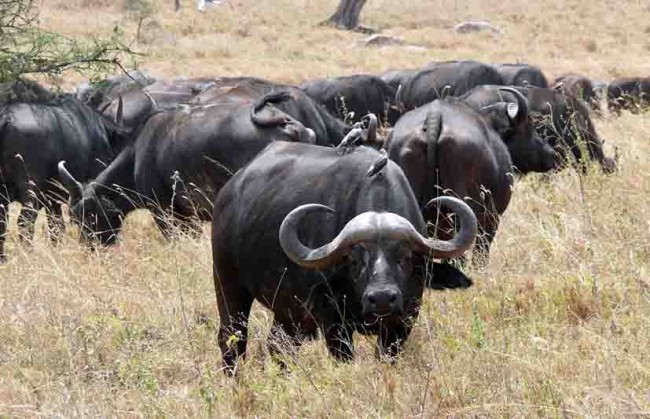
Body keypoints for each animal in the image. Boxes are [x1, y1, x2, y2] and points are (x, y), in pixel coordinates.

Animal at [213, 141, 476, 374]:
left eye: (405, 258)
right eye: (355, 261)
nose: (382, 299)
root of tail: (229, 192)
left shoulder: (403, 320)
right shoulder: (334, 322)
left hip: (288, 309)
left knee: (279, 346)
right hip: (228, 284)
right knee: (232, 339)